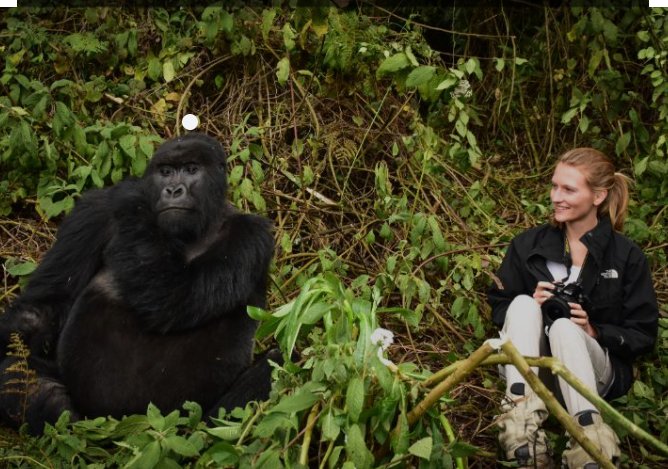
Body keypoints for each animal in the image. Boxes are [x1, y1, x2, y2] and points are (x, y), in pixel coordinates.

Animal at [0, 133, 276, 436]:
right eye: (165, 172)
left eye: (191, 169)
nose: (173, 190)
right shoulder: (95, 210)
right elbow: (48, 300)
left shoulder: (252, 235)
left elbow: (176, 296)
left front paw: (134, 199)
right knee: (18, 373)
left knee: (276, 367)